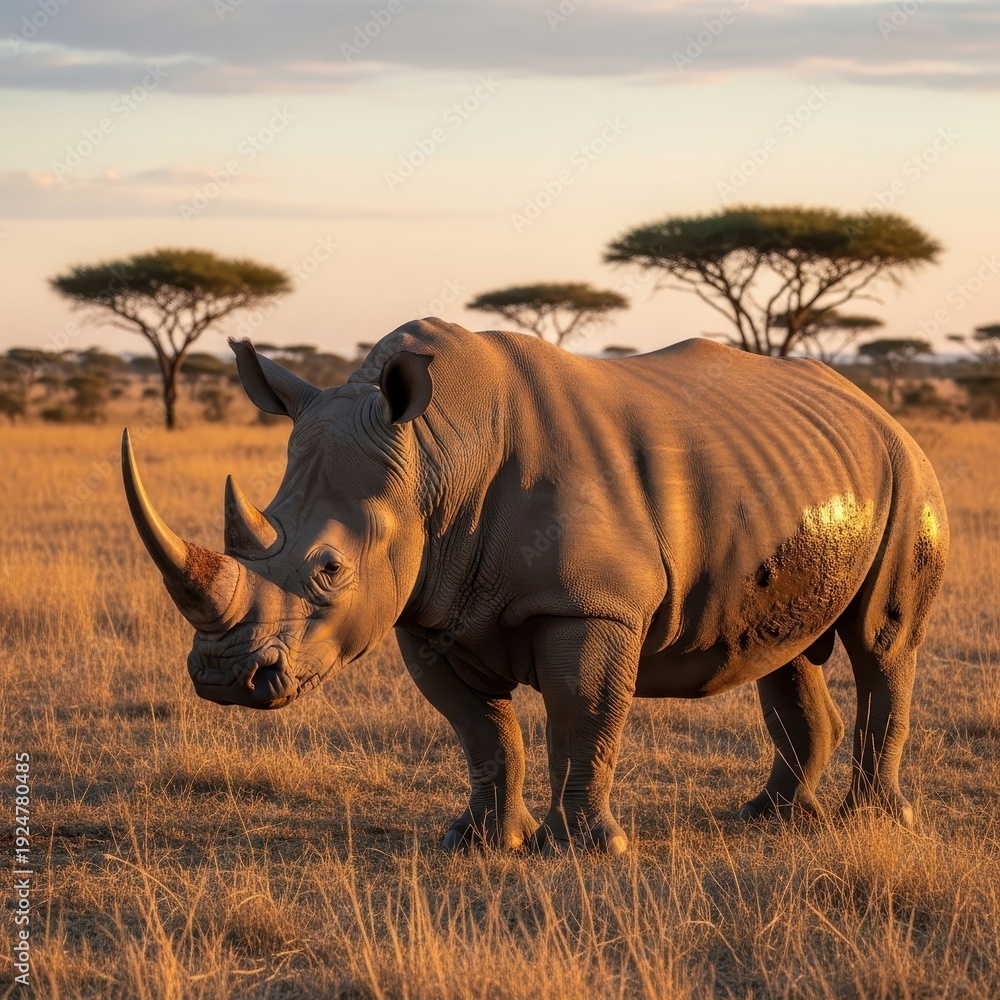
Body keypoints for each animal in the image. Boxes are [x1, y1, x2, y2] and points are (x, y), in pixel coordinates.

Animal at [122, 318, 948, 853]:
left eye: (330, 570)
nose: (223, 677)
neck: (431, 456)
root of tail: (874, 407)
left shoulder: (591, 604)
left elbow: (583, 714)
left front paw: (585, 849)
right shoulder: (428, 610)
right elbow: (481, 730)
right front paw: (479, 842)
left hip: (907, 472)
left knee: (881, 644)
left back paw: (876, 824)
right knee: (783, 648)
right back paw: (769, 818)